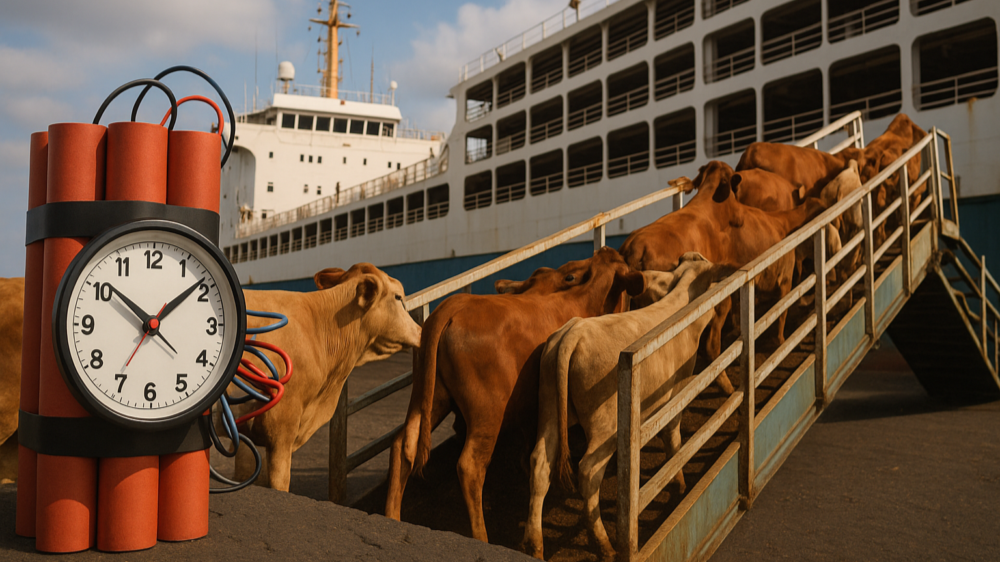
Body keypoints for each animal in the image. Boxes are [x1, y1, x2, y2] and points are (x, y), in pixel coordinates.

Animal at [384, 247, 646, 544]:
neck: (582, 299)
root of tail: (453, 305)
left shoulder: (530, 408)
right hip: (487, 412)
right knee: (470, 465)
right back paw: (481, 537)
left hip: (428, 396)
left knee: (403, 443)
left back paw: (392, 516)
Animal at [522, 253, 731, 560]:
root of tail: (574, 333)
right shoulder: (678, 388)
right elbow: (673, 436)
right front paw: (678, 481)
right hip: (604, 425)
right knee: (588, 471)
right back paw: (604, 544)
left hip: (548, 407)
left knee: (539, 465)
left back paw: (535, 544)